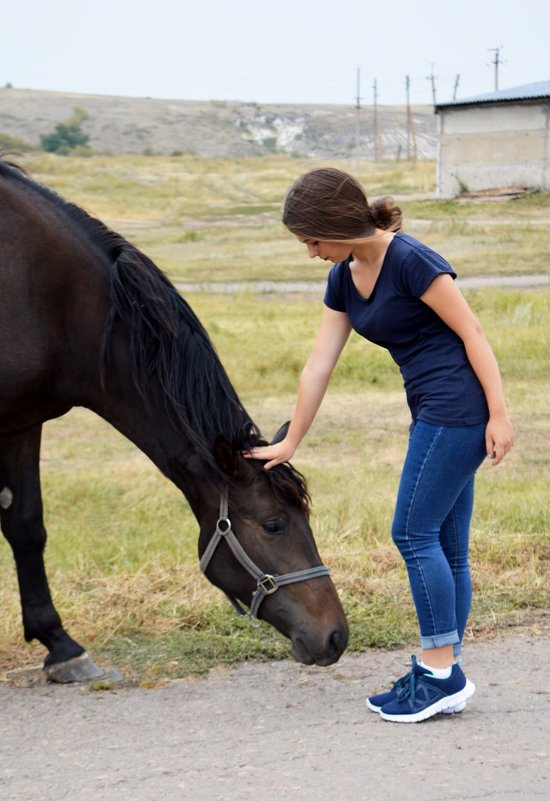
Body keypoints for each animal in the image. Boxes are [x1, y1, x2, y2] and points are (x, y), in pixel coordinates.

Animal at [0, 158, 350, 680]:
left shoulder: (22, 422)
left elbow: (26, 525)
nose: (335, 636)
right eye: (274, 525)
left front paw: (61, 645)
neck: (54, 297)